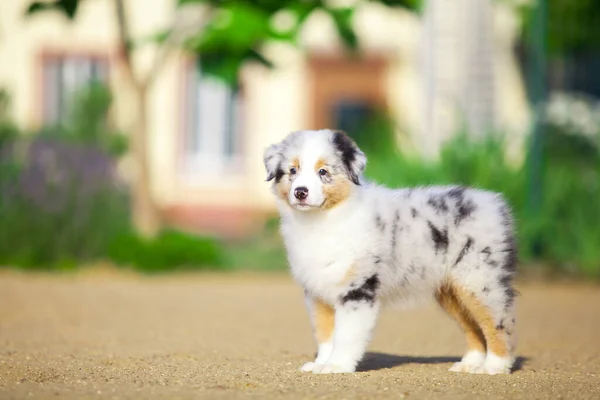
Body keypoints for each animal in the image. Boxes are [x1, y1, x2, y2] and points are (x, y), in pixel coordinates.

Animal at [264, 130, 516, 376]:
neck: (323, 220)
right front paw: (320, 364)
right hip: (451, 290)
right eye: (293, 170)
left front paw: (337, 366)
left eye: (323, 171)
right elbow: (325, 335)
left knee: (498, 321)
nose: (300, 192)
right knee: (472, 326)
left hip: (478, 280)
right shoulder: (317, 292)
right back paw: (470, 364)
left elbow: (346, 335)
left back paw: (495, 366)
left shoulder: (358, 289)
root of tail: (494, 202)